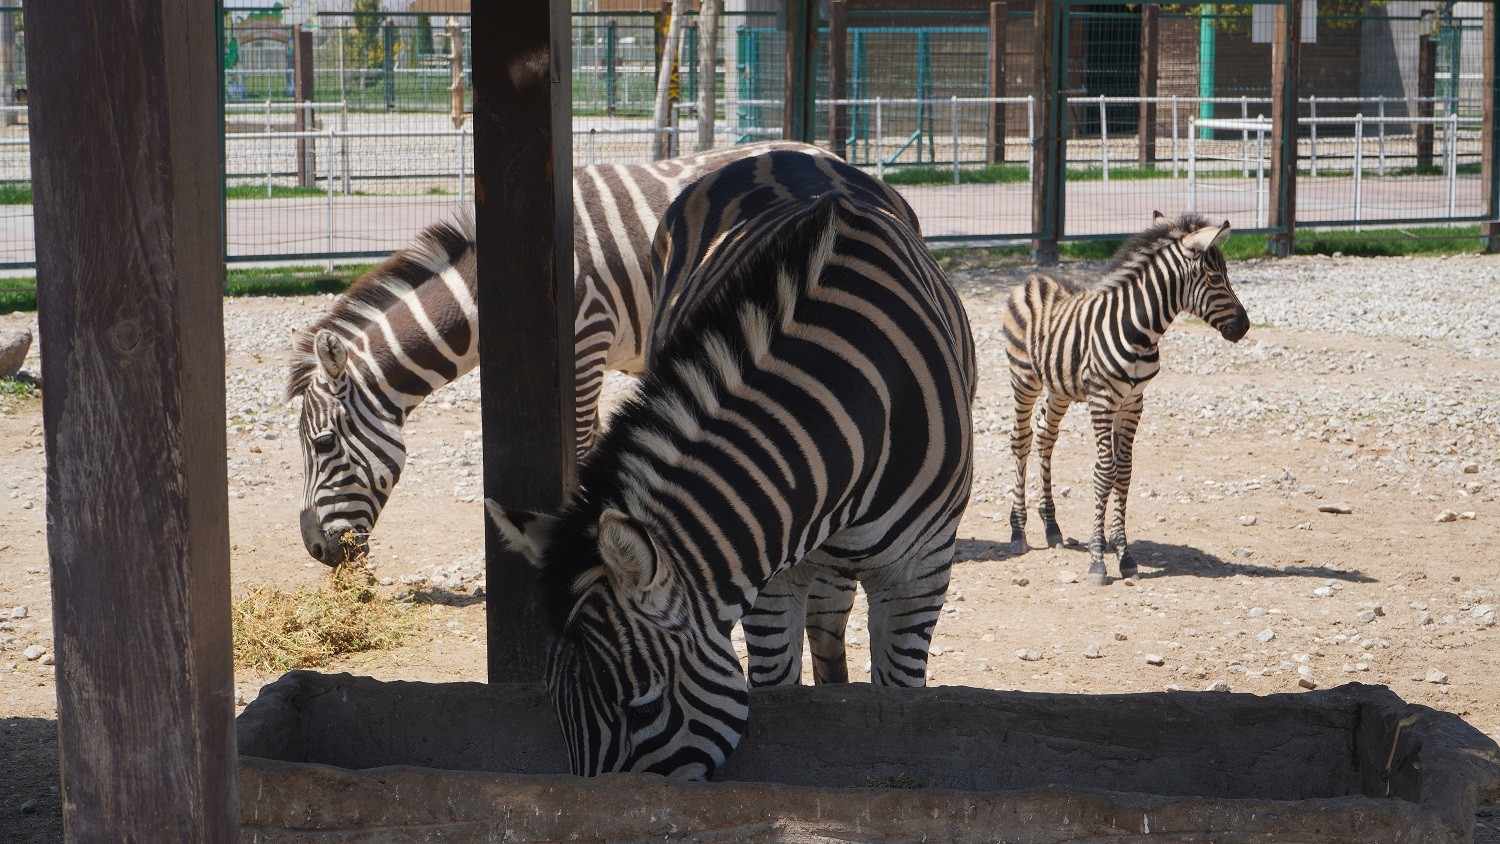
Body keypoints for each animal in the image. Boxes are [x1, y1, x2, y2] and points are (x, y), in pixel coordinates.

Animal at [486, 149, 976, 779]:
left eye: (644, 708)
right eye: (555, 706)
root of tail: (782, 153)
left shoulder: (922, 574)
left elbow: (902, 697)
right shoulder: (771, 578)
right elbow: (779, 687)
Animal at [1002, 211, 1249, 586]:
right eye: (1215, 277)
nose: (1245, 326)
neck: (1140, 331)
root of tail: (1034, 277)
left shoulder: (1134, 402)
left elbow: (1125, 471)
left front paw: (1123, 553)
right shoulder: (1102, 400)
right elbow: (1105, 470)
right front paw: (1098, 560)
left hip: (1058, 387)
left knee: (1046, 437)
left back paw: (1052, 526)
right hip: (1023, 378)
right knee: (1022, 440)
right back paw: (1018, 532)